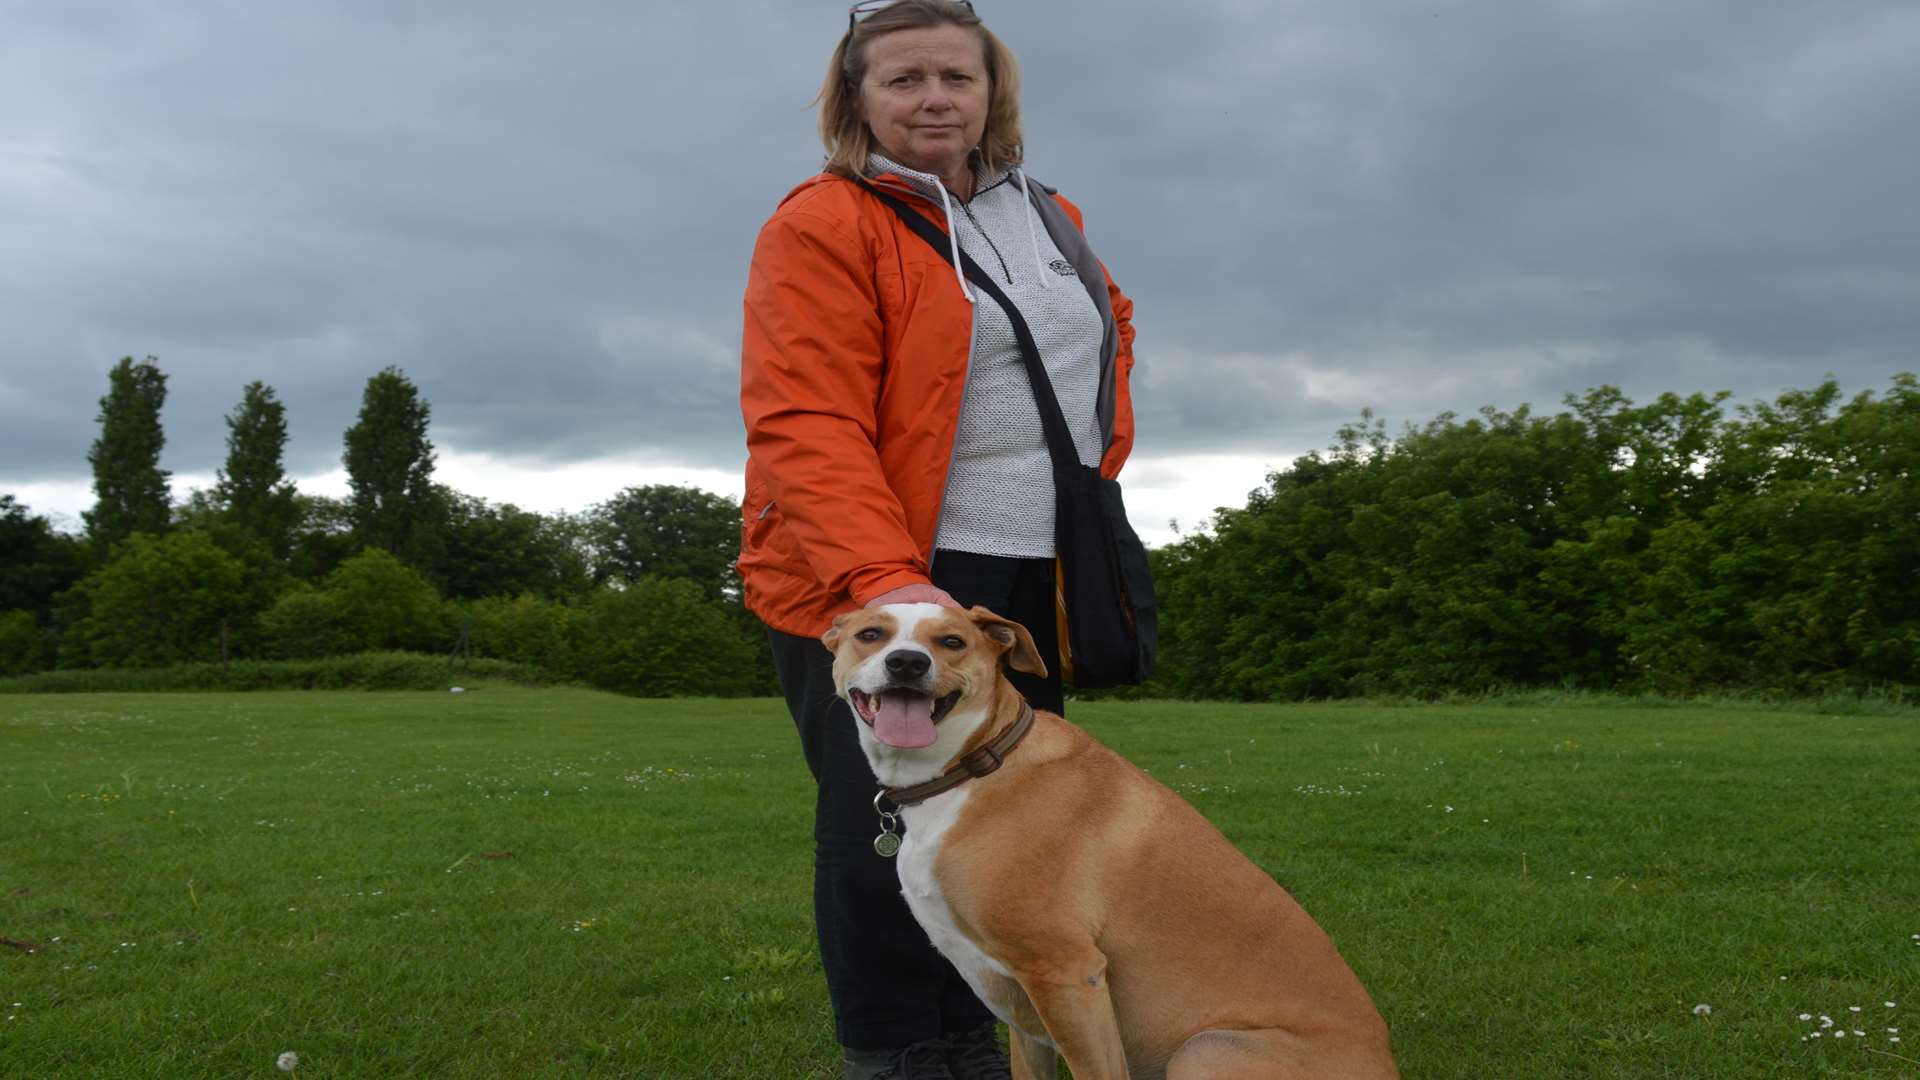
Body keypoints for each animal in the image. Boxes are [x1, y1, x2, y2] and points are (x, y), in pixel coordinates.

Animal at [825, 599, 1397, 1076]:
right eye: (871, 634)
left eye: (952, 641)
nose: (907, 663)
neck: (975, 765)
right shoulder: (1017, 1000)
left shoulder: (1067, 974)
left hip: (1205, 1049)